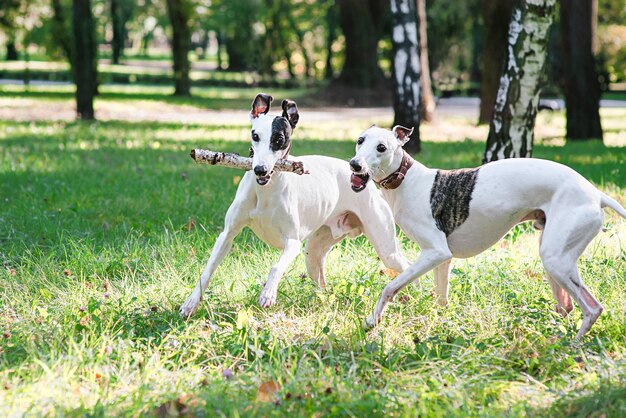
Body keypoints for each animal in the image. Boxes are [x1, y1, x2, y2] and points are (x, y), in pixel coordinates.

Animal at [178, 94, 410, 316]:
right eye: (255, 136)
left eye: (279, 139)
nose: (260, 170)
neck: (265, 191)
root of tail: (371, 185)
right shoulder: (228, 234)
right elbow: (208, 268)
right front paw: (190, 303)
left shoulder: (292, 242)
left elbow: (275, 267)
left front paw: (268, 293)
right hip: (314, 253)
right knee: (321, 282)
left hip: (386, 249)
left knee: (404, 265)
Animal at [348, 125, 624, 340]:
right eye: (360, 140)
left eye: (381, 147)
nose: (355, 165)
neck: (406, 181)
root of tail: (596, 193)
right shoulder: (442, 260)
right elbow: (441, 300)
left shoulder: (435, 252)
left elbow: (390, 286)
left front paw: (372, 321)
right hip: (552, 256)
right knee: (566, 306)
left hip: (557, 259)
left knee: (593, 308)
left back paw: (573, 346)